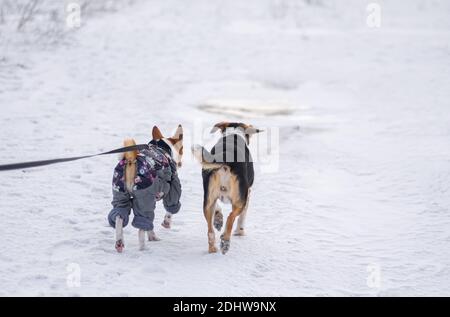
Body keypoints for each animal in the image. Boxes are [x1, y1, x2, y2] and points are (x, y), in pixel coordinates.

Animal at [192, 122, 262, 253]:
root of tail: (225, 157)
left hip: (208, 200)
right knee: (231, 217)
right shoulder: (247, 194)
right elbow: (242, 217)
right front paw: (240, 231)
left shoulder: (211, 197)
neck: (233, 133)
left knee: (210, 230)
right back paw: (225, 241)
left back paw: (213, 247)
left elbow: (217, 208)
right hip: (239, 200)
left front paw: (218, 218)